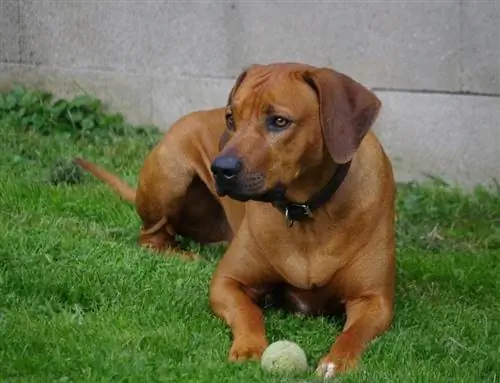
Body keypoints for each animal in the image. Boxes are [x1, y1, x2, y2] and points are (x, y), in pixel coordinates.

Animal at [75, 63, 394, 378]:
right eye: (231, 118)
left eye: (279, 121)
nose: (220, 168)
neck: (306, 211)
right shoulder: (227, 282)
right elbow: (247, 311)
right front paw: (250, 347)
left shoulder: (375, 300)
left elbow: (354, 333)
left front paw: (337, 362)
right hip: (171, 171)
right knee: (151, 235)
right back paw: (184, 255)